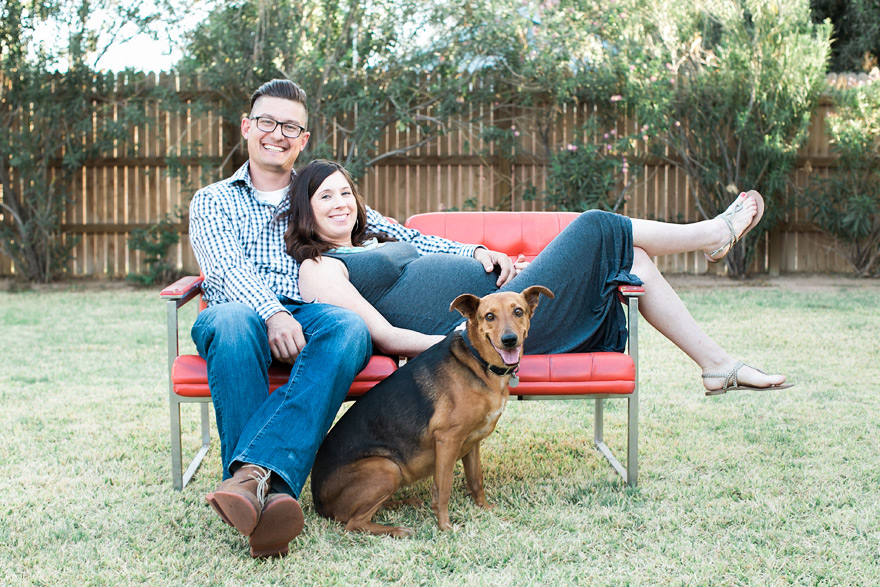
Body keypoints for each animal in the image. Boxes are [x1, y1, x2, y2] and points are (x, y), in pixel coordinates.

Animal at [312, 284, 552, 536]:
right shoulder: (447, 439)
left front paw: (485, 508)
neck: (479, 363)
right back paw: (396, 530)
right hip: (387, 467)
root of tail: (319, 503)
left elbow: (476, 479)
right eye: (489, 316)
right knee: (354, 523)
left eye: (518, 311)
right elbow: (443, 488)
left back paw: (402, 503)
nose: (509, 340)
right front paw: (445, 526)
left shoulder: (472, 441)